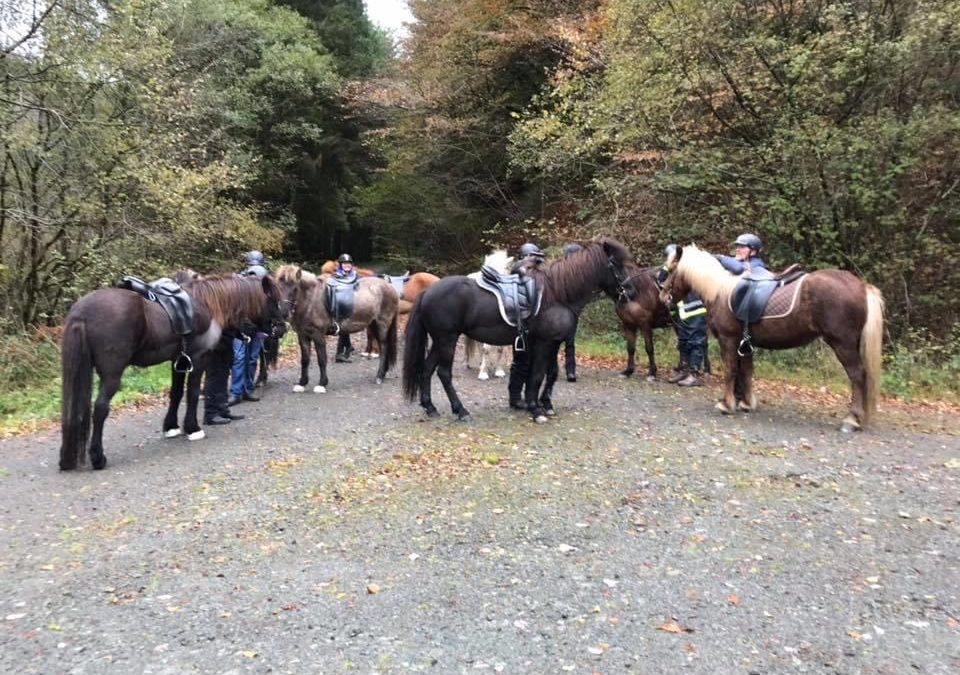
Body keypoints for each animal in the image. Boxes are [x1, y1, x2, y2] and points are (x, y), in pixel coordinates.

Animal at [58, 274, 284, 470]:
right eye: (274, 300)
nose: (281, 328)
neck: (207, 303)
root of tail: (82, 311)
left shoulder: (179, 360)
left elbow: (175, 394)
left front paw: (171, 426)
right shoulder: (198, 358)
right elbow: (192, 394)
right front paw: (193, 428)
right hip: (112, 375)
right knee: (100, 409)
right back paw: (98, 457)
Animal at [274, 264, 402, 390]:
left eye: (295, 288)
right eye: (277, 288)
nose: (283, 314)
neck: (311, 300)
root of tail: (390, 287)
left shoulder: (318, 335)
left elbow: (321, 359)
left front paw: (322, 383)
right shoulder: (303, 335)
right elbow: (305, 359)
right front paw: (302, 383)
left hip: (382, 324)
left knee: (384, 347)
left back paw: (379, 376)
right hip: (373, 325)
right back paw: (383, 374)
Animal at [402, 240, 632, 422]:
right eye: (617, 264)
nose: (630, 291)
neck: (557, 293)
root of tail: (428, 291)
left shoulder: (553, 343)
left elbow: (550, 373)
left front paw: (545, 405)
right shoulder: (544, 342)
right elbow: (537, 375)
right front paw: (536, 409)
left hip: (439, 341)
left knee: (426, 369)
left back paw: (430, 407)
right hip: (447, 340)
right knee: (443, 373)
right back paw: (461, 411)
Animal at [660, 244, 884, 434]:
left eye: (672, 270)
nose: (663, 296)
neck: (720, 291)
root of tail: (862, 287)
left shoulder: (728, 340)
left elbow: (730, 371)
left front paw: (726, 404)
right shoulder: (745, 345)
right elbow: (746, 372)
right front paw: (746, 403)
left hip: (842, 345)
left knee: (857, 376)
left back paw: (851, 420)